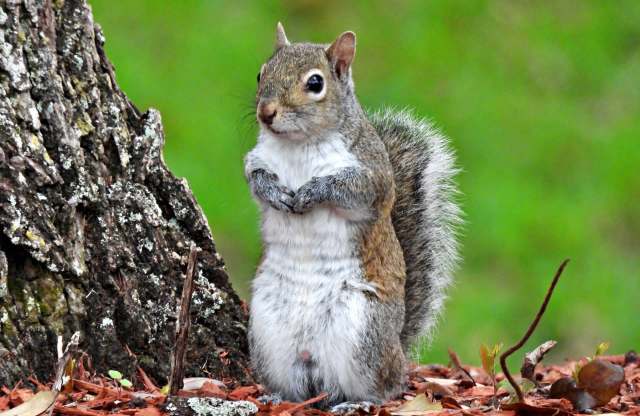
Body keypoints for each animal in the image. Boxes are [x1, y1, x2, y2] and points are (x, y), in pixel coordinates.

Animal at [244, 23, 460, 407]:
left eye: (315, 83)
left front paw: (312, 192)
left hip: (363, 333)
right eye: (261, 73)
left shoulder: (372, 178)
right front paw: (275, 193)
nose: (266, 112)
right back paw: (278, 397)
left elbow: (348, 190)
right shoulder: (256, 159)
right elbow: (255, 179)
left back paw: (358, 401)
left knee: (386, 387)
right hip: (268, 336)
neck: (298, 144)